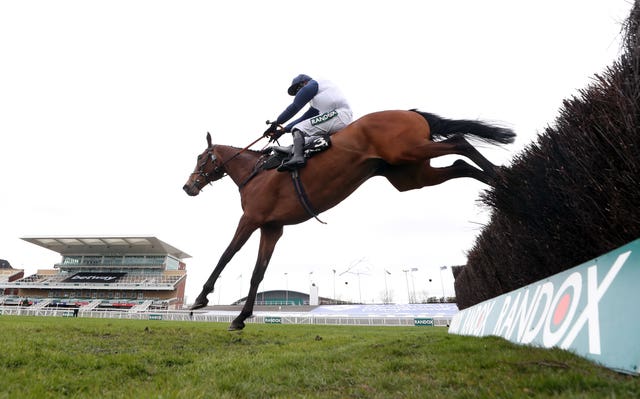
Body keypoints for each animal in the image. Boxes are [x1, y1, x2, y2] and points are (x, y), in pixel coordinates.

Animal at [182, 109, 512, 332]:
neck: (256, 173)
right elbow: (257, 274)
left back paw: (501, 175)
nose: (188, 186)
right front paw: (240, 317)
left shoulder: (251, 218)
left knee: (459, 141)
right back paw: (500, 181)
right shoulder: (272, 227)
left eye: (200, 158)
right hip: (411, 175)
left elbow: (226, 255)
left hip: (409, 151)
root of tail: (410, 111)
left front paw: (200, 299)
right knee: (458, 163)